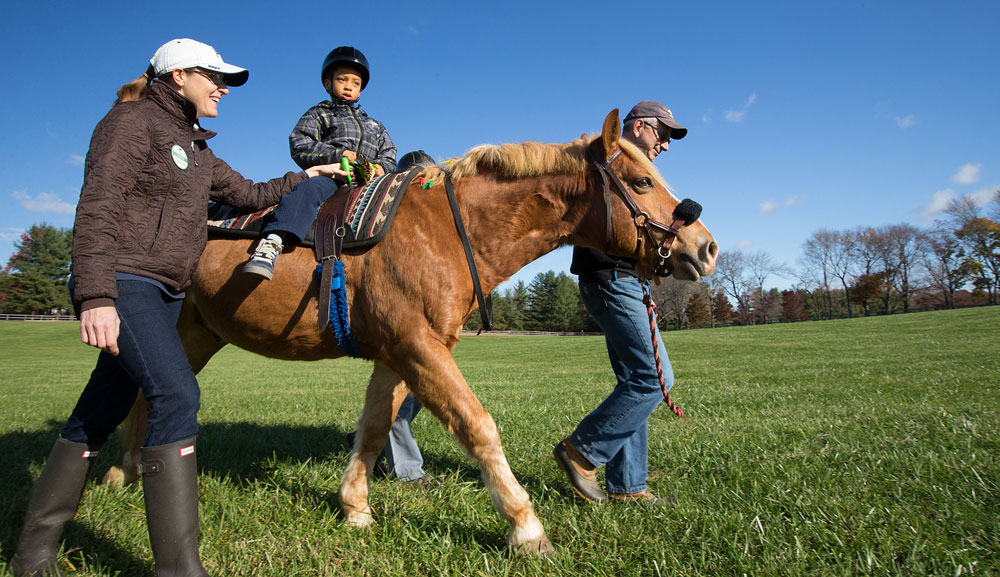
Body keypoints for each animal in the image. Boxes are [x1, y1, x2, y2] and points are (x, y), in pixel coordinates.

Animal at [107, 109, 720, 552]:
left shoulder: (395, 353)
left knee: (142, 397)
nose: (706, 247)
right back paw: (122, 474)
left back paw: (127, 472)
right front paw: (526, 528)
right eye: (641, 180)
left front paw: (355, 508)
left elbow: (375, 426)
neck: (446, 228)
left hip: (197, 334)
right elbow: (478, 426)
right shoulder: (417, 346)